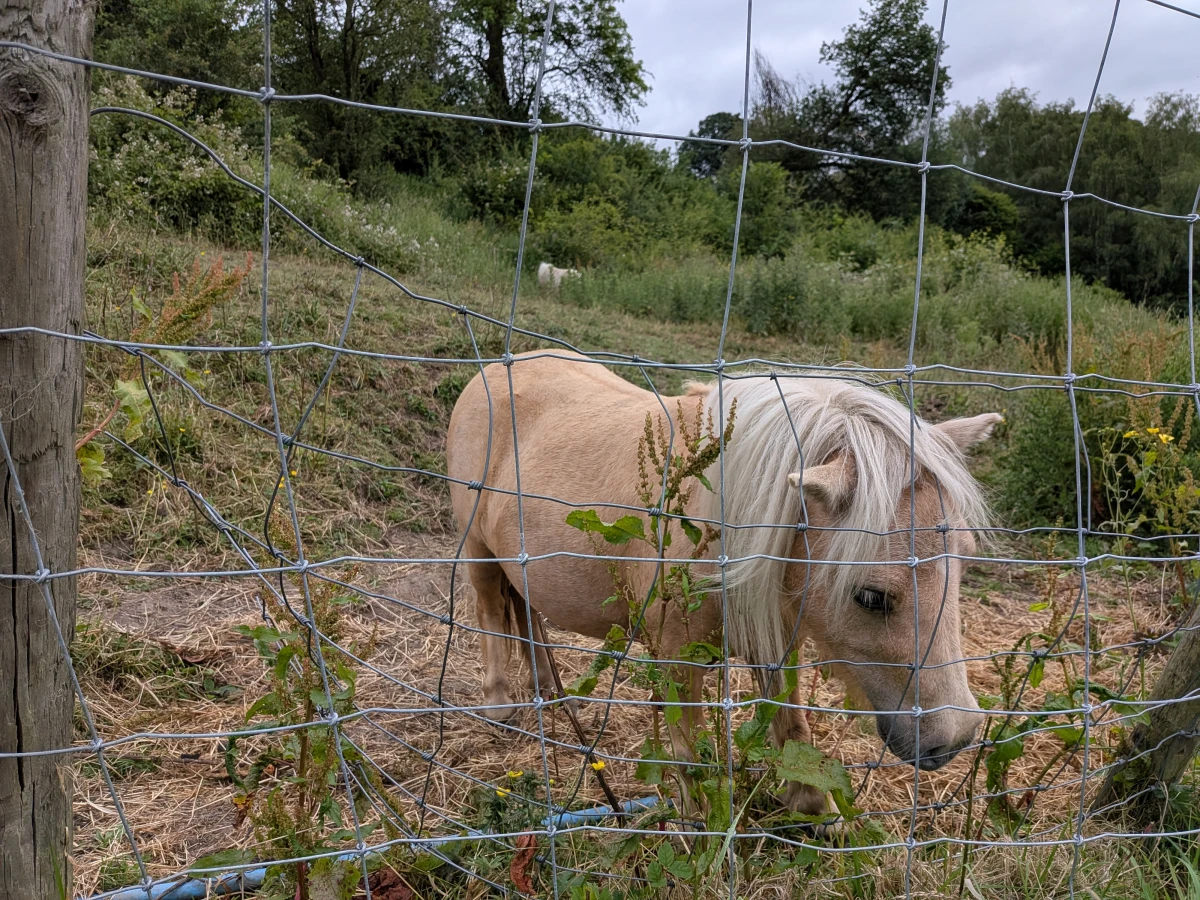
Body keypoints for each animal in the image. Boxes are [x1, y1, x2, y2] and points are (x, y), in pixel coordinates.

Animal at [446, 350, 999, 817]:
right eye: (871, 597)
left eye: (964, 563)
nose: (954, 738)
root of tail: (495, 370)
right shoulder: (675, 659)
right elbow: (689, 754)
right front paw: (700, 825)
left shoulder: (775, 634)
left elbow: (789, 718)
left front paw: (813, 808)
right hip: (477, 548)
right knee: (490, 611)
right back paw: (500, 703)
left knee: (527, 612)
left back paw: (549, 690)